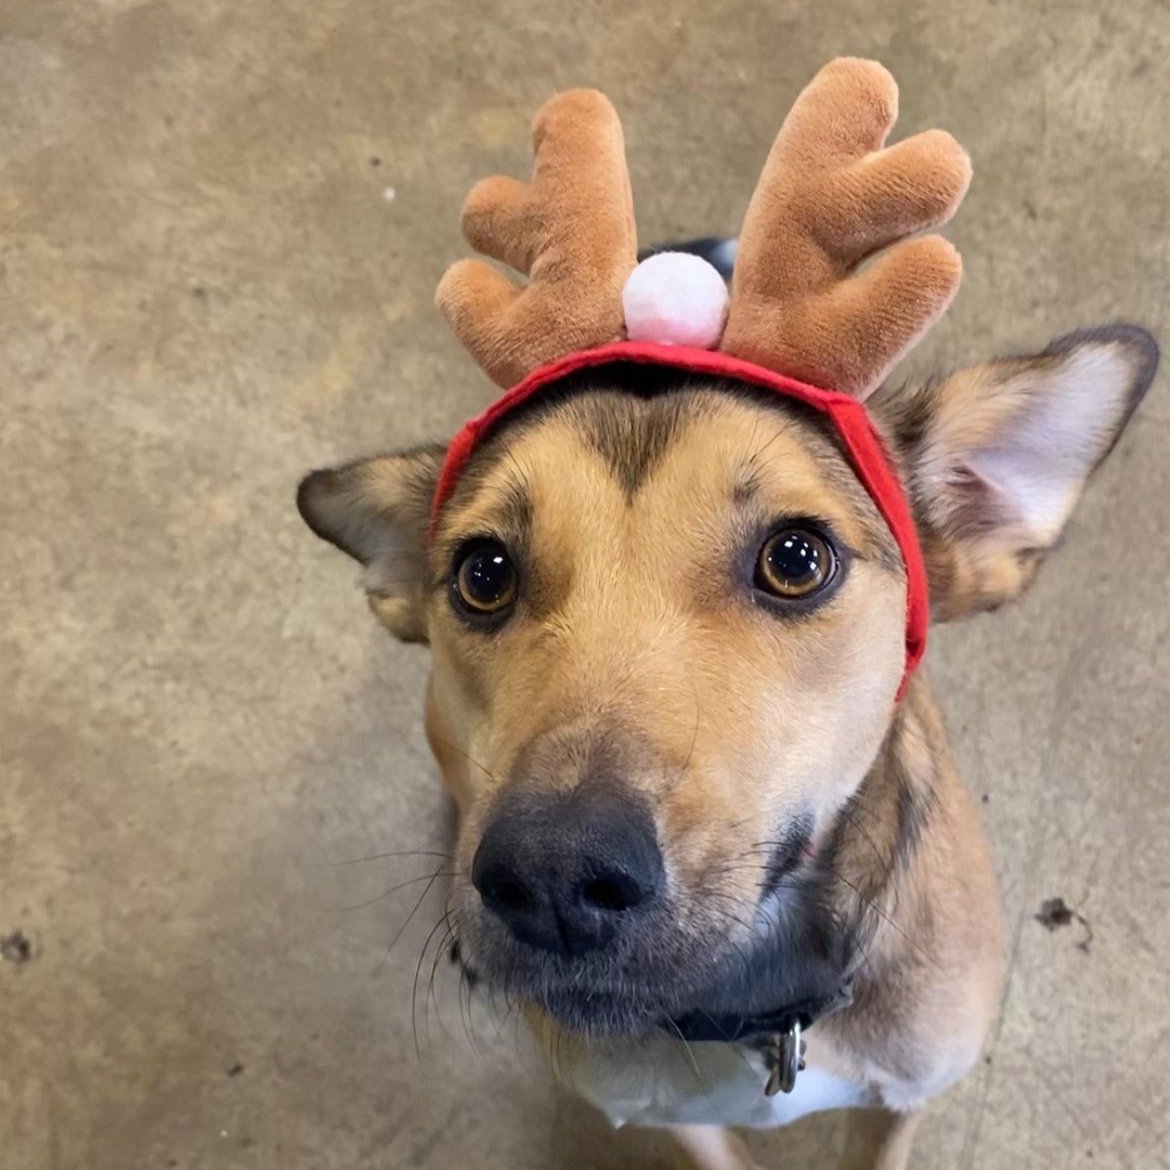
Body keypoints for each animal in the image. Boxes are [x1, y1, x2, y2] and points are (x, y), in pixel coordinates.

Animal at [294, 61, 1160, 1170]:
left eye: (796, 559)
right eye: (483, 573)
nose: (552, 877)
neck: (755, 1013)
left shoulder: (909, 1089)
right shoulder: (668, 1114)